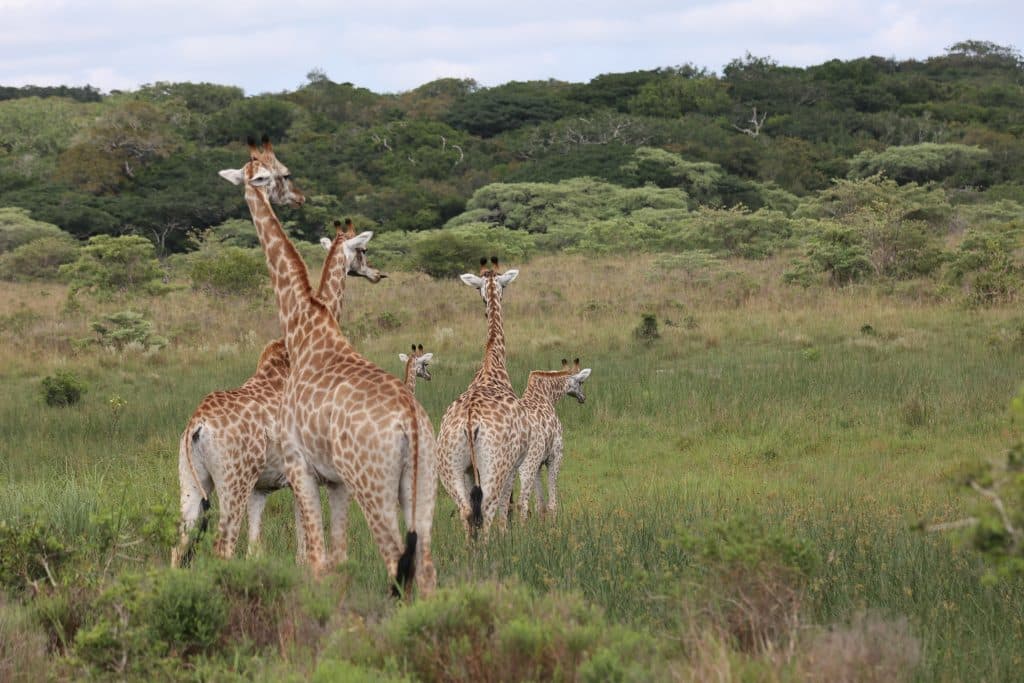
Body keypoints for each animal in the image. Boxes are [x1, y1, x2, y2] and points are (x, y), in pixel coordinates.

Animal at [170, 223, 383, 568]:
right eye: (363, 251)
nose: (377, 274)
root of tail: (196, 426)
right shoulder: (300, 475)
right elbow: (304, 550)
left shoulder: (264, 487)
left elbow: (256, 549)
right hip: (234, 480)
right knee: (223, 547)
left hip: (191, 480)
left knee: (179, 546)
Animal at [219, 137, 437, 596]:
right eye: (284, 174)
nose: (299, 197)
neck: (305, 325)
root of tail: (411, 424)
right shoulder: (332, 481)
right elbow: (335, 559)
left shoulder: (301, 466)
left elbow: (317, 560)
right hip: (422, 485)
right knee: (426, 568)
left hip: (370, 484)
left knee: (397, 561)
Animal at [436, 257, 529, 538]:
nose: (486, 311)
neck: (492, 366)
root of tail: (470, 423)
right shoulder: (514, 464)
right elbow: (504, 508)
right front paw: (506, 536)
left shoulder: (469, 469)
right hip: (495, 464)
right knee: (487, 508)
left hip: (449, 466)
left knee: (466, 510)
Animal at [515, 358, 592, 521]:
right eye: (581, 382)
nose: (583, 398)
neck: (546, 394)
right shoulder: (555, 456)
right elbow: (551, 503)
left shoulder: (539, 463)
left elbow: (540, 505)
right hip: (527, 463)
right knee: (521, 502)